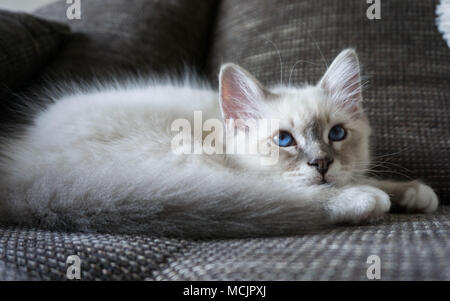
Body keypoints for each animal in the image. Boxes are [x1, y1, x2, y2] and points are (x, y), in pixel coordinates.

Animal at [0, 48, 438, 237]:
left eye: (337, 134)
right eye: (284, 139)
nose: (322, 164)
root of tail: (22, 171)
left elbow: (366, 176)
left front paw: (415, 193)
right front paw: (372, 195)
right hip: (178, 166)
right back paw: (362, 202)